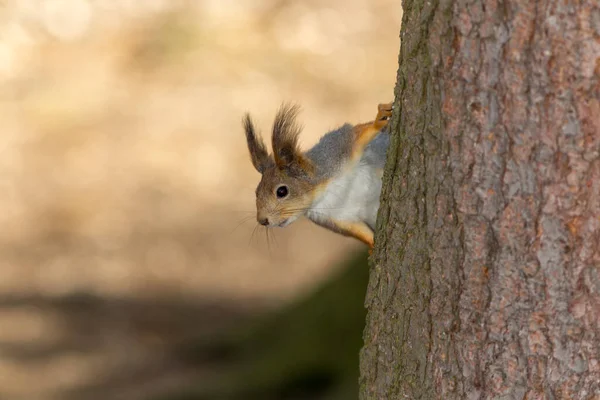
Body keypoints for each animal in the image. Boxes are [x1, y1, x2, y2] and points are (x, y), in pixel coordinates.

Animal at [244, 101, 394, 252]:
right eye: (256, 193)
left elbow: (358, 134)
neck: (322, 191)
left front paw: (378, 121)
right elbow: (359, 230)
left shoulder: (337, 150)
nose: (262, 220)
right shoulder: (336, 217)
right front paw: (372, 246)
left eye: (281, 191)